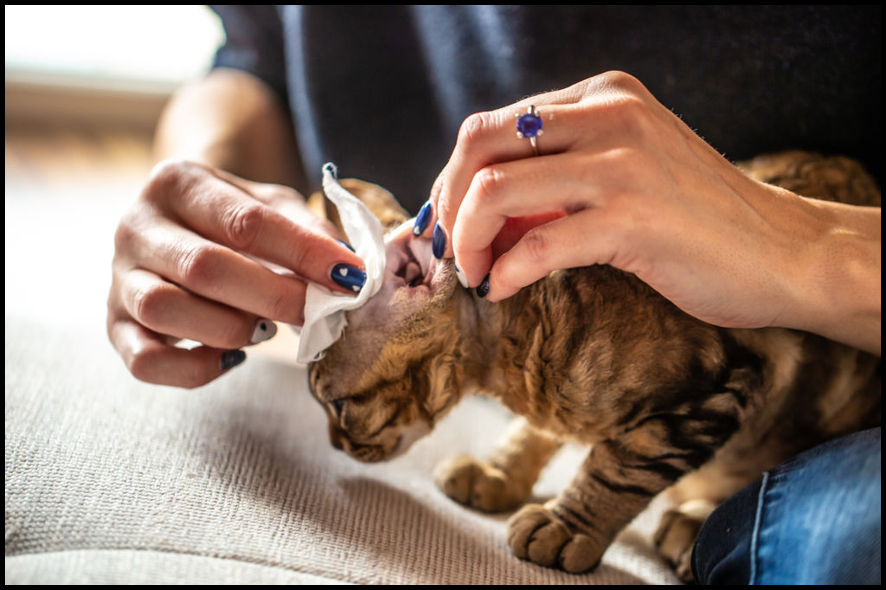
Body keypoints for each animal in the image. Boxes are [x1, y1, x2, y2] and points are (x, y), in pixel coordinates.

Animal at [307, 151, 881, 580]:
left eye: (338, 407)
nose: (334, 445)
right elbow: (537, 433)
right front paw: (500, 470)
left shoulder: (729, 380)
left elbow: (619, 469)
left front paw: (569, 526)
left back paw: (690, 525)